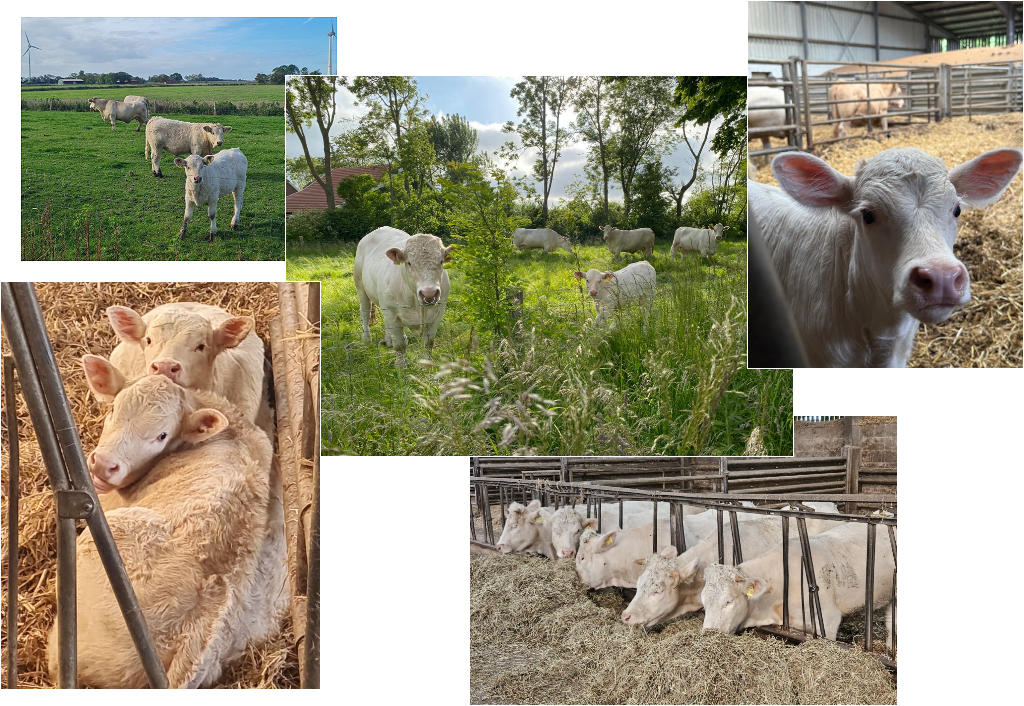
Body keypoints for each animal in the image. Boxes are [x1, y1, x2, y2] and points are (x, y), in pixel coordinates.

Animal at [354, 226, 454, 367]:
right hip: (360, 287)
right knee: (365, 313)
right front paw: (401, 367)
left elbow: (428, 342)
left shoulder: (438, 312)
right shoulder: (391, 311)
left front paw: (427, 365)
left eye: (441, 261)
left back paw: (388, 340)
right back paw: (367, 339)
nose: (429, 293)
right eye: (409, 263)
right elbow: (400, 345)